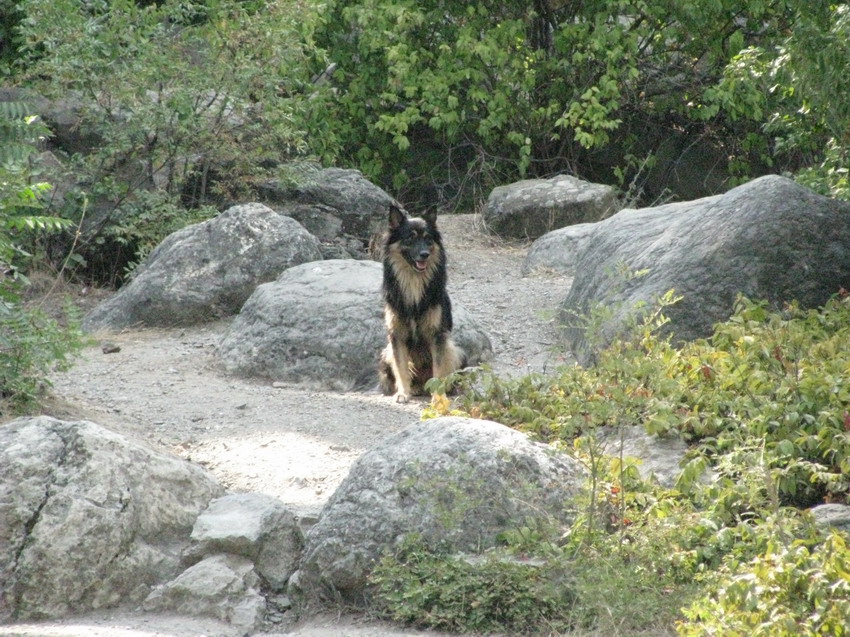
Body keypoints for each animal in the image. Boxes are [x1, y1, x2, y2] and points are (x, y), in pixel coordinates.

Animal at [380, 204, 468, 402]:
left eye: (428, 239)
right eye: (410, 238)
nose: (425, 255)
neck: (414, 282)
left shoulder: (437, 336)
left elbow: (438, 371)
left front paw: (438, 399)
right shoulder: (397, 336)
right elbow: (401, 369)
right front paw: (403, 393)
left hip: (455, 350)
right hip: (386, 352)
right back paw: (413, 389)